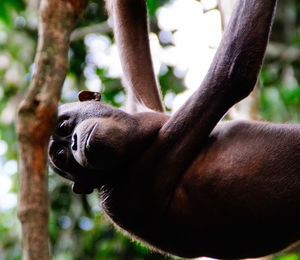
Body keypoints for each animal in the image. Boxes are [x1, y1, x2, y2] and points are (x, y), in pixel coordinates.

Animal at [47, 0, 300, 258]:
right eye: (62, 156)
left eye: (63, 126)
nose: (73, 143)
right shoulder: (133, 184)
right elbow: (232, 74)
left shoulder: (139, 108)